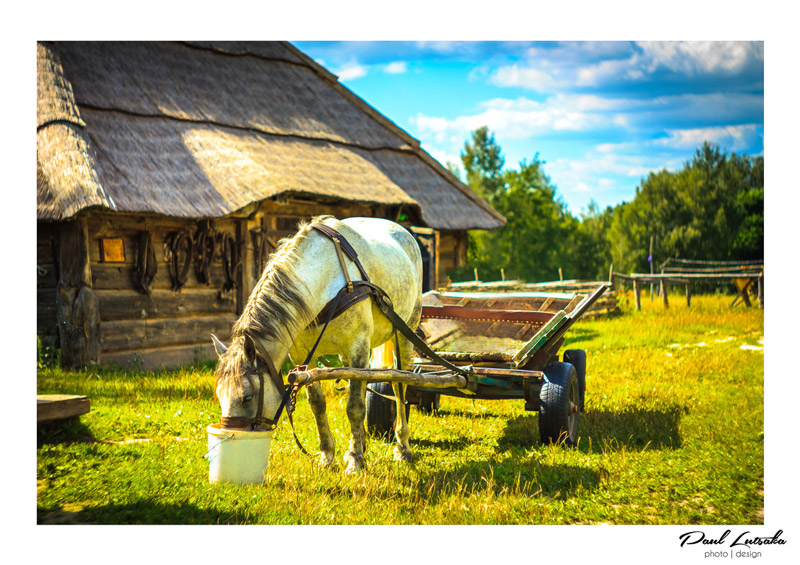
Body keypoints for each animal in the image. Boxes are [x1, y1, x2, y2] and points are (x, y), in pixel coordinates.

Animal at [212, 216, 424, 472]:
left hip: (405, 333)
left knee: (399, 385)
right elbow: (317, 404)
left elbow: (355, 406)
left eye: (247, 397)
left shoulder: (358, 346)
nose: (231, 438)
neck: (325, 278)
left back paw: (402, 447)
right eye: (219, 395)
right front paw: (328, 455)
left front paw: (355, 459)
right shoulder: (303, 356)